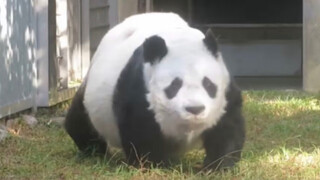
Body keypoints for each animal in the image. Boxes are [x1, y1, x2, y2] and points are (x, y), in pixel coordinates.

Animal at [64, 12, 245, 170]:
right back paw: (94, 151)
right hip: (92, 96)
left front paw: (217, 166)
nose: (195, 109)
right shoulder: (139, 87)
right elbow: (140, 130)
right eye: (174, 86)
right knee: (80, 122)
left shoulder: (226, 91)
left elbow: (227, 128)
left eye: (208, 84)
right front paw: (153, 165)